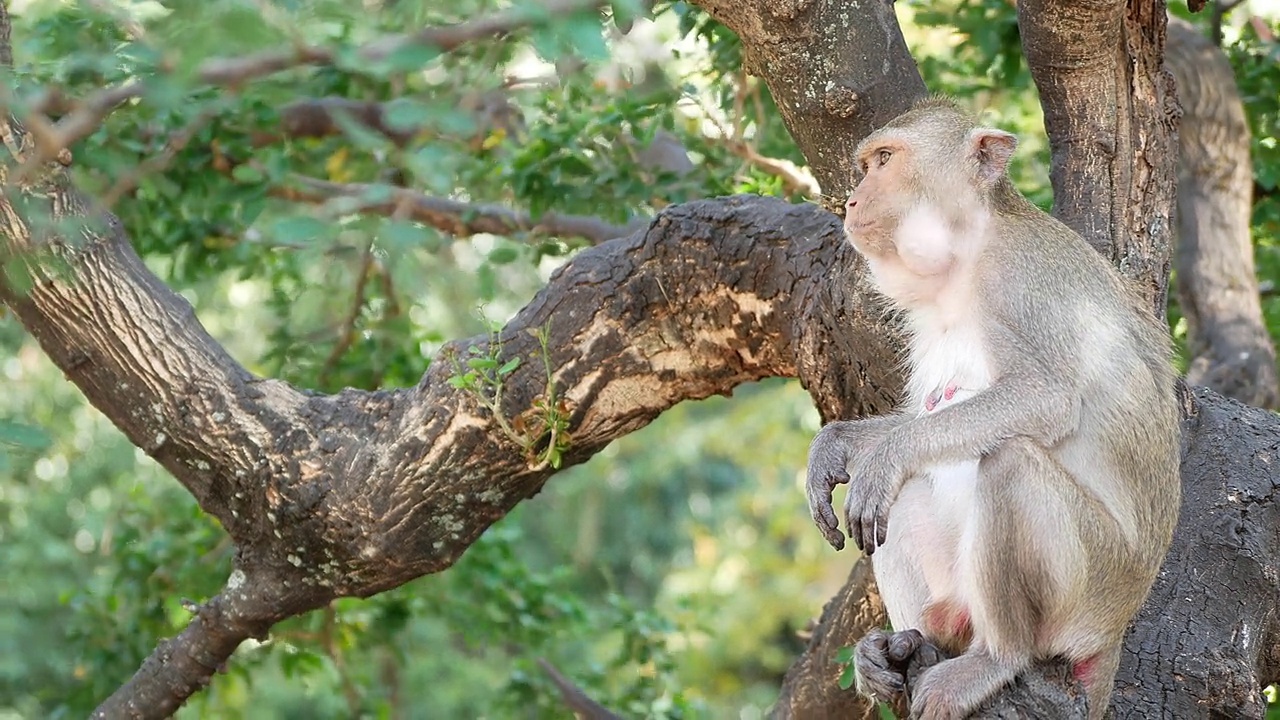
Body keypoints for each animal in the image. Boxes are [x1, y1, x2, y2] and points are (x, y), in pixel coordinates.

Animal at [803, 95, 1182, 717]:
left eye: (884, 160)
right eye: (866, 165)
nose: (853, 201)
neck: (966, 257)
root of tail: (1114, 634)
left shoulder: (1022, 280)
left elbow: (1047, 397)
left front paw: (885, 454)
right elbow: (919, 421)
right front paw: (835, 446)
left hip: (1090, 591)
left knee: (1008, 463)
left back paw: (995, 659)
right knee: (901, 496)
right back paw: (908, 644)